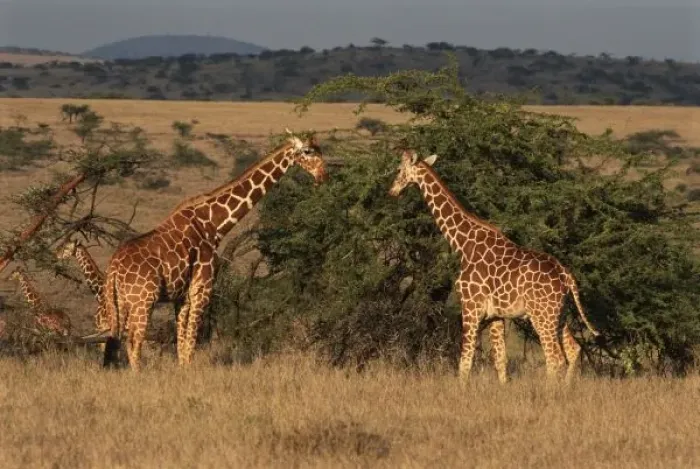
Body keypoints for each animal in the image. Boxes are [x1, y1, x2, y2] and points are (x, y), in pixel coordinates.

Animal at [102, 130, 328, 370]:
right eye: (308, 151)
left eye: (320, 150)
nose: (323, 176)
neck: (213, 226)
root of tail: (113, 268)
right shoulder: (202, 288)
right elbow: (190, 342)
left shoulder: (182, 296)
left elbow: (181, 343)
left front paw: (181, 371)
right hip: (143, 300)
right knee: (134, 341)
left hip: (119, 302)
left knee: (114, 340)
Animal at [388, 150, 599, 384]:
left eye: (399, 169)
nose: (392, 191)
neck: (463, 244)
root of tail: (566, 276)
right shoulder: (496, 315)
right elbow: (500, 361)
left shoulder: (471, 307)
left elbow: (465, 362)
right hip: (558, 314)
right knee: (573, 350)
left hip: (541, 315)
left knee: (555, 358)